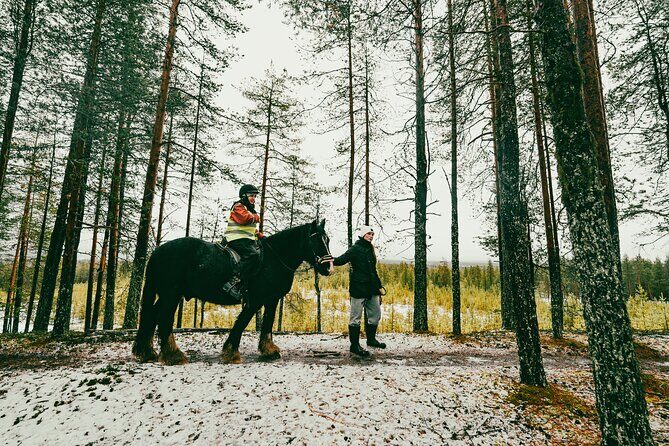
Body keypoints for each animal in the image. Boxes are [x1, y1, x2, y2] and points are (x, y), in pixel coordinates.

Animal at [131, 219, 334, 365]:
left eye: (327, 240)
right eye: (316, 239)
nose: (329, 267)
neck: (274, 258)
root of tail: (157, 252)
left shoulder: (272, 299)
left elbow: (267, 323)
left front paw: (268, 350)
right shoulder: (256, 299)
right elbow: (242, 323)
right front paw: (231, 353)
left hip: (167, 294)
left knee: (152, 315)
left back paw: (147, 352)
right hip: (171, 294)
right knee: (164, 318)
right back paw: (173, 355)